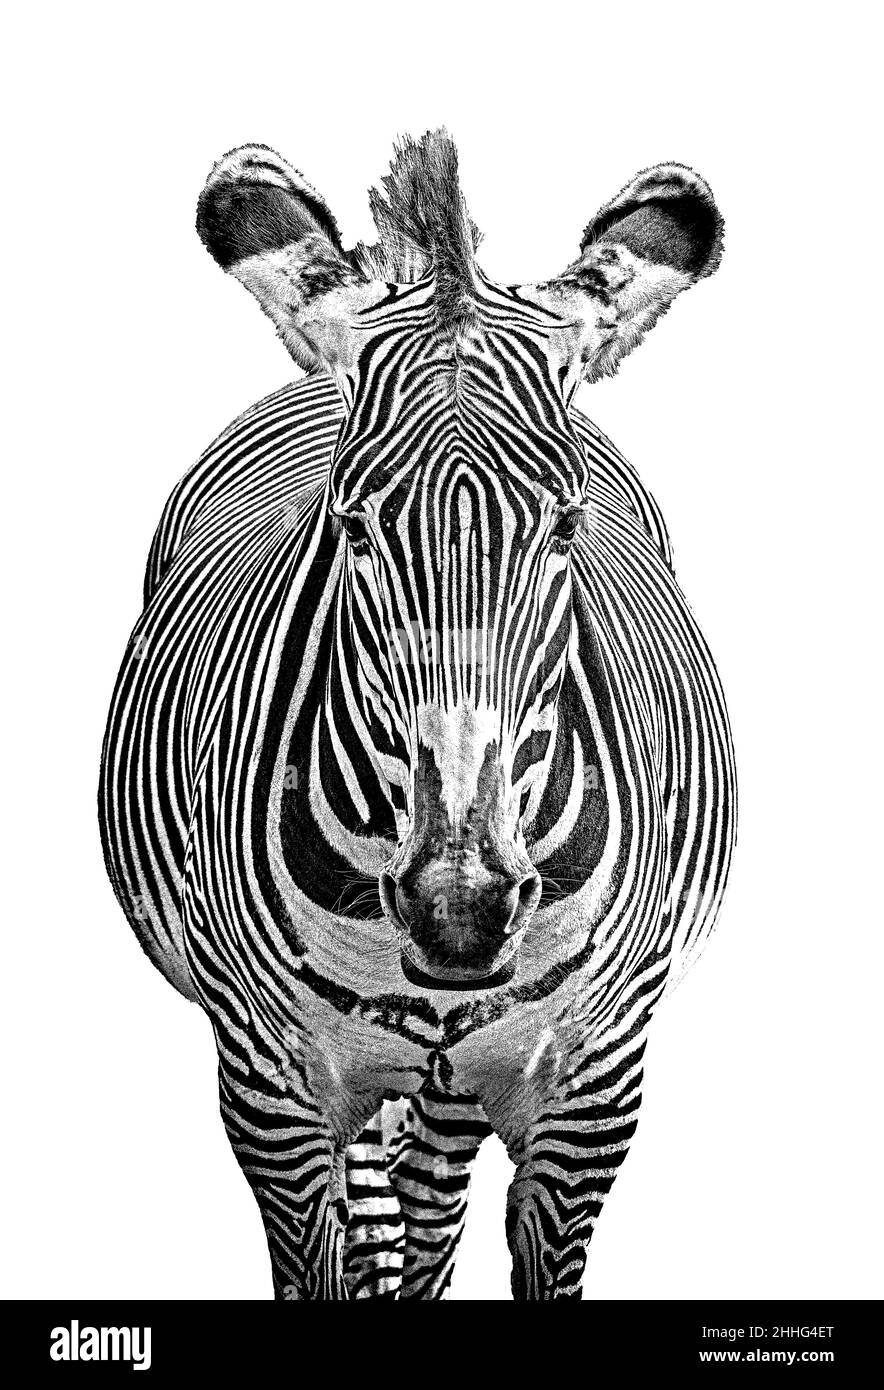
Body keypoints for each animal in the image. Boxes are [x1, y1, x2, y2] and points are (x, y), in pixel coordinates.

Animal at [99, 131, 736, 1300]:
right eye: (350, 523)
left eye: (566, 524)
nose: (460, 911)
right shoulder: (269, 1087)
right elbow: (321, 1265)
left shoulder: (593, 1090)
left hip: (452, 1086)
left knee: (428, 1212)